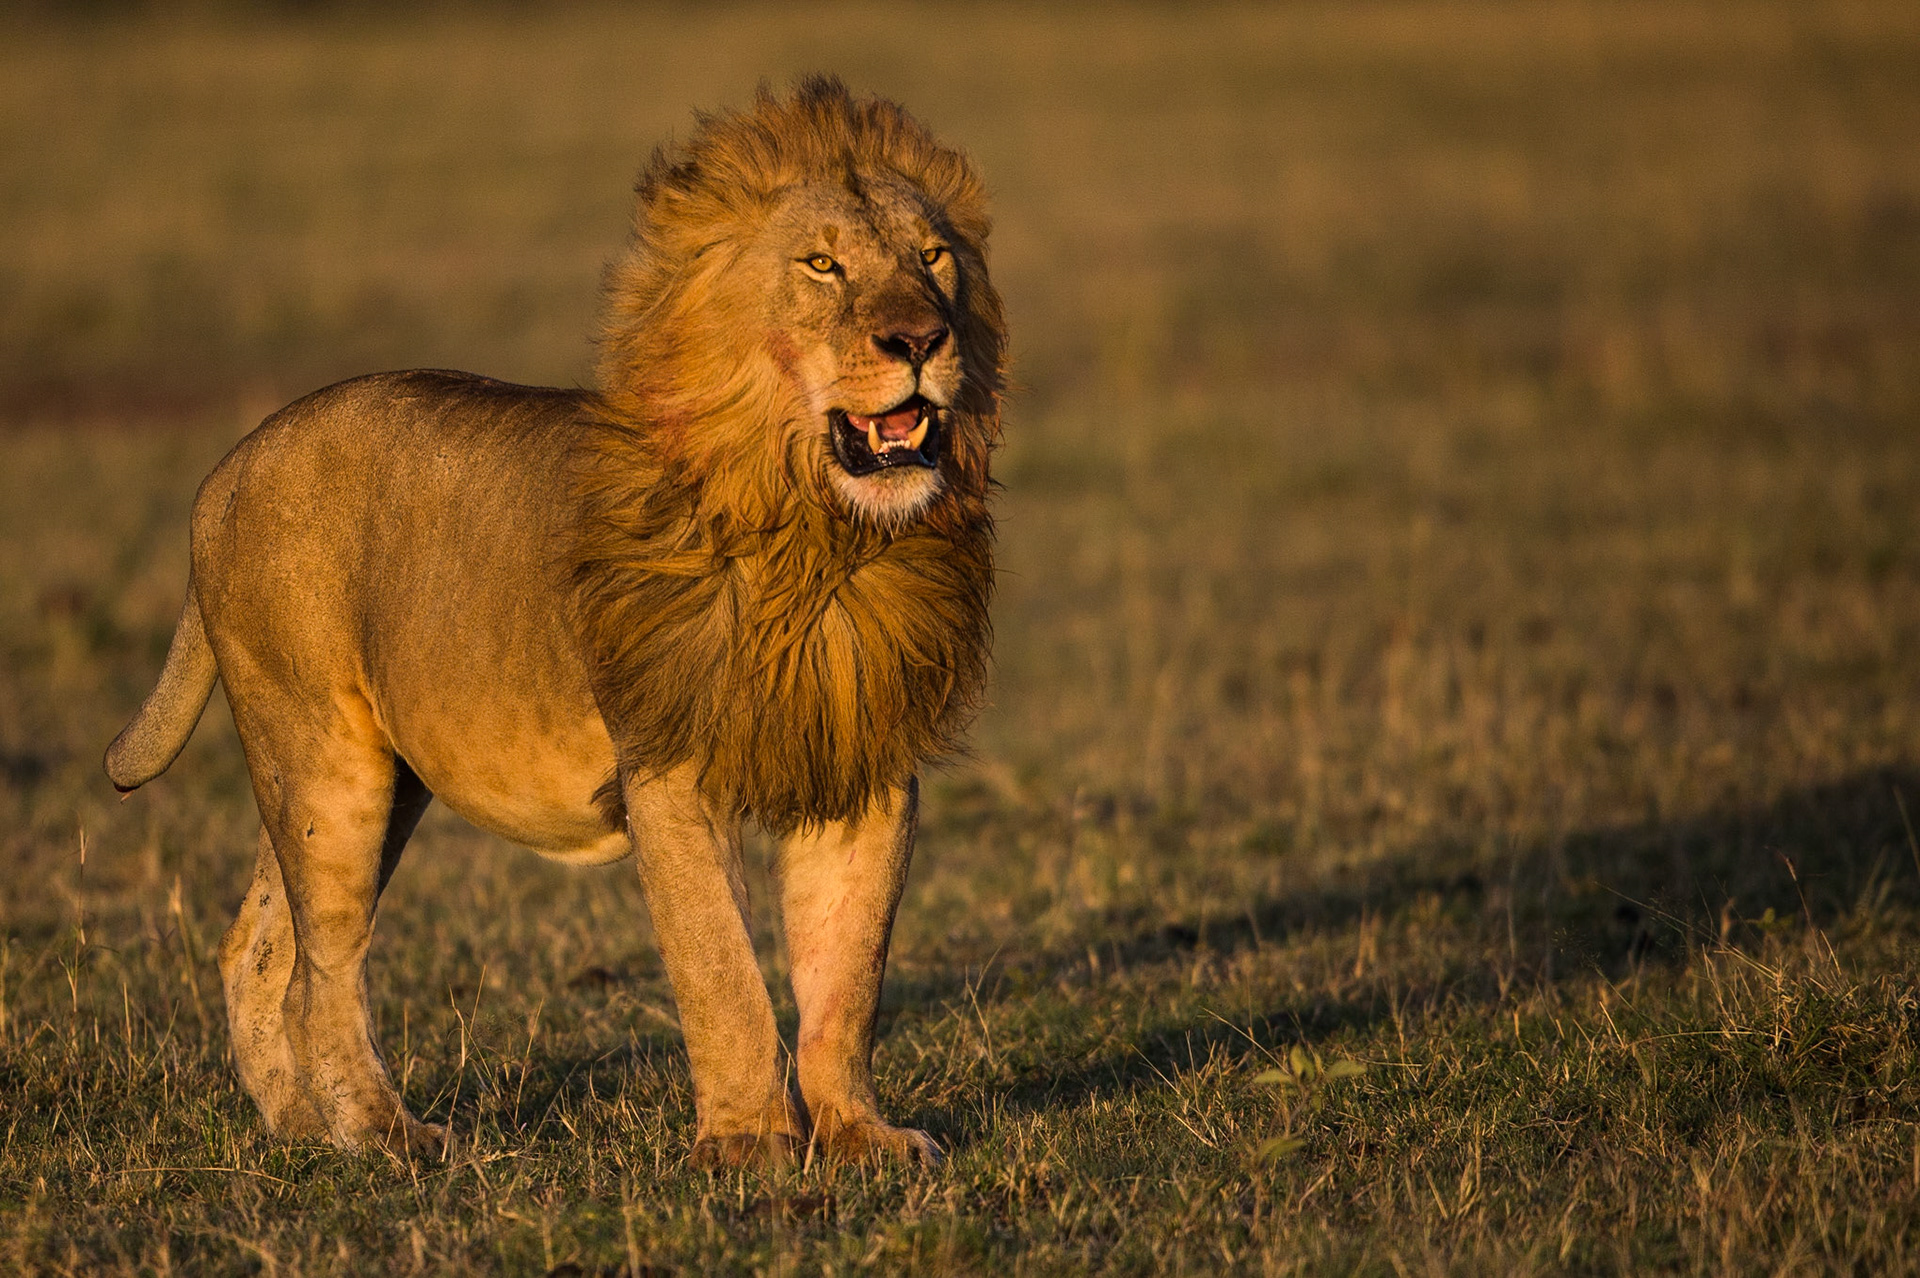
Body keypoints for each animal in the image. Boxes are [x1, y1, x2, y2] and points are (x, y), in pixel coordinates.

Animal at [103, 77, 1004, 1169]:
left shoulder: (862, 757)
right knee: (325, 966)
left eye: (934, 258)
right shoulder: (668, 769)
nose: (919, 341)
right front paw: (750, 1145)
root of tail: (227, 468)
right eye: (822, 264)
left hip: (374, 778)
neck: (818, 540)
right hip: (323, 762)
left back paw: (303, 1134)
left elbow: (849, 973)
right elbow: (720, 967)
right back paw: (389, 1138)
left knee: (261, 947)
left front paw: (858, 1135)